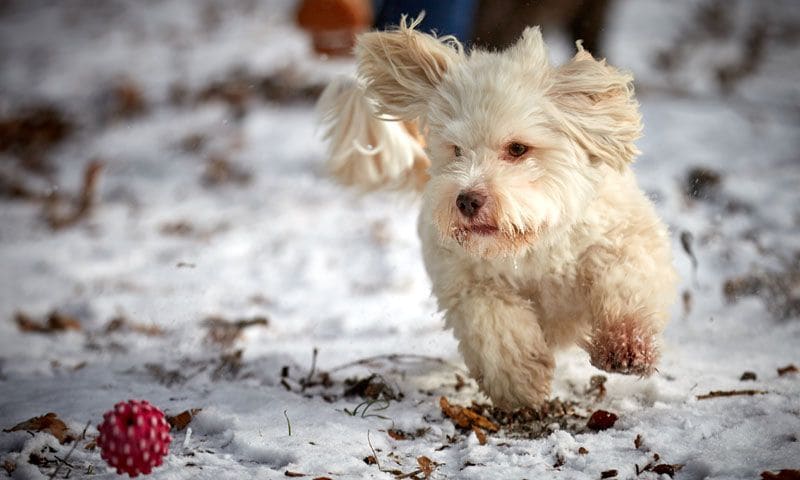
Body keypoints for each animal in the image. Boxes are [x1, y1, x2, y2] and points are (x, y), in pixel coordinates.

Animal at [316, 16, 680, 406]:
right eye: (457, 150)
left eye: (517, 148)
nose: (466, 200)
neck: (531, 243)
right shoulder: (470, 286)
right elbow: (497, 328)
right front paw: (522, 383)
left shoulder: (623, 238)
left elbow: (624, 279)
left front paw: (624, 346)